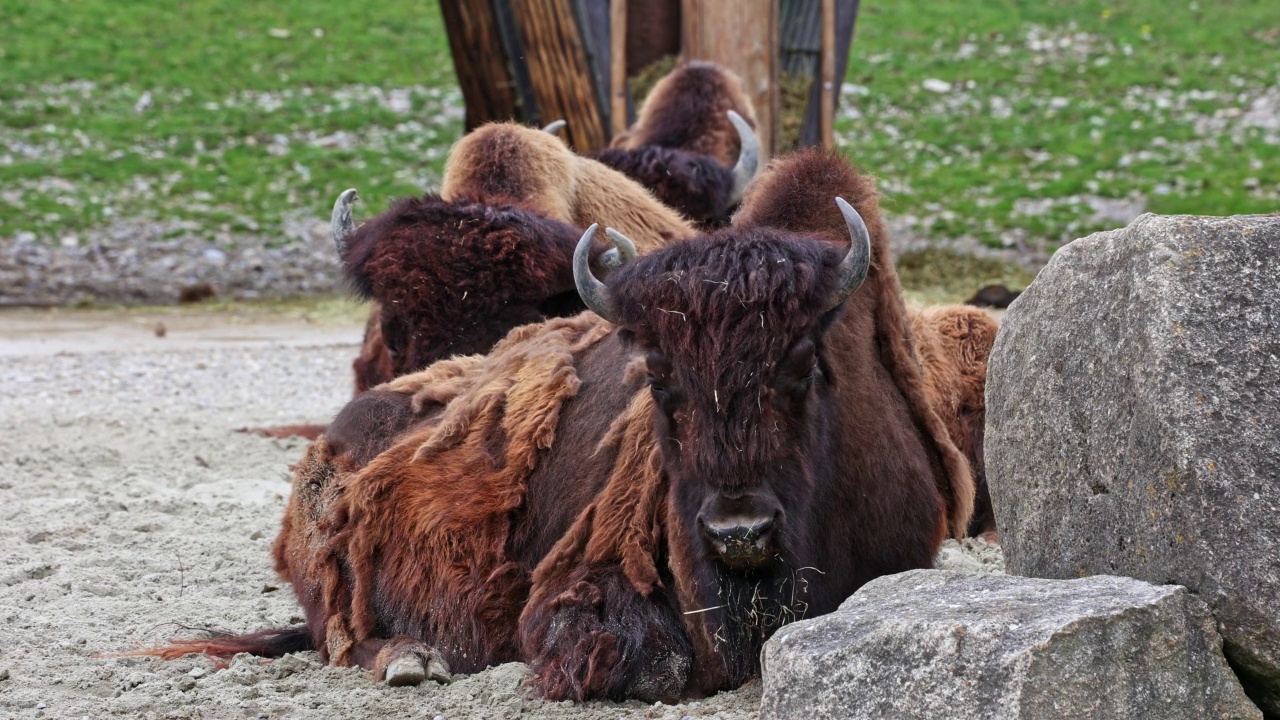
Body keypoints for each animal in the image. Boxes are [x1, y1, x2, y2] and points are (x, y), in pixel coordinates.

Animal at [147, 147, 967, 702]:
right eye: (658, 374)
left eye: (803, 363)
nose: (739, 531)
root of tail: (334, 437)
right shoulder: (574, 596)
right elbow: (654, 662)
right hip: (332, 567)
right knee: (340, 636)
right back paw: (416, 659)